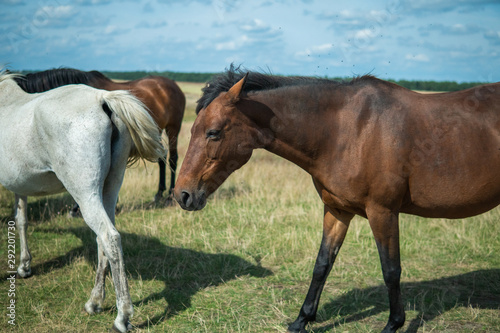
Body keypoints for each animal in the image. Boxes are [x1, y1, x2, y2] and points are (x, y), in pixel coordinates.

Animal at [0, 71, 165, 330]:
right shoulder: (20, 185)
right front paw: (24, 265)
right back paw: (94, 302)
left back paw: (122, 317)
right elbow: (21, 220)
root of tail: (102, 99)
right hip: (109, 190)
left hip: (85, 194)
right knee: (103, 240)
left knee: (109, 237)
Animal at [15, 68, 186, 206]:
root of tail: (173, 85)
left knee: (172, 158)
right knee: (162, 159)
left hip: (173, 128)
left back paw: (170, 197)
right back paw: (159, 194)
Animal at [173, 66, 500, 330]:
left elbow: (391, 269)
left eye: (213, 133)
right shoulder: (336, 210)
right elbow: (322, 264)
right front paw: (301, 321)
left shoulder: (383, 212)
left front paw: (394, 323)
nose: (182, 194)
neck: (348, 130)